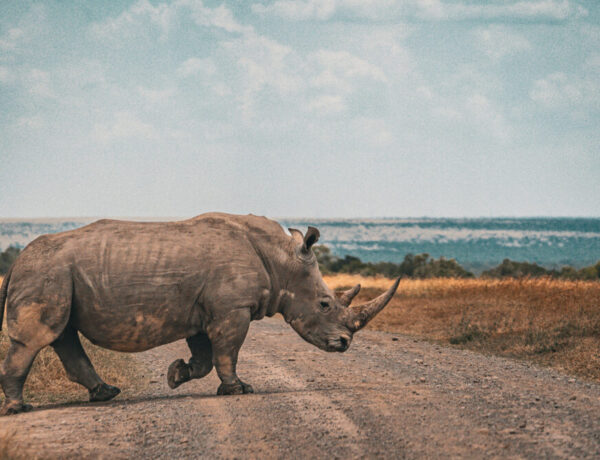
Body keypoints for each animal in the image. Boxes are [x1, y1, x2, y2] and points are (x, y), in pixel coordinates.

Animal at [2, 214, 400, 416]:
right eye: (324, 304)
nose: (344, 343)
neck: (282, 261)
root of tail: (17, 261)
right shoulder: (231, 308)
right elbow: (227, 352)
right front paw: (239, 390)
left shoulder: (206, 308)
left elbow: (206, 356)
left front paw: (176, 374)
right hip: (46, 271)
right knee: (38, 337)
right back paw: (20, 408)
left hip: (53, 273)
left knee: (62, 334)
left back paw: (106, 394)